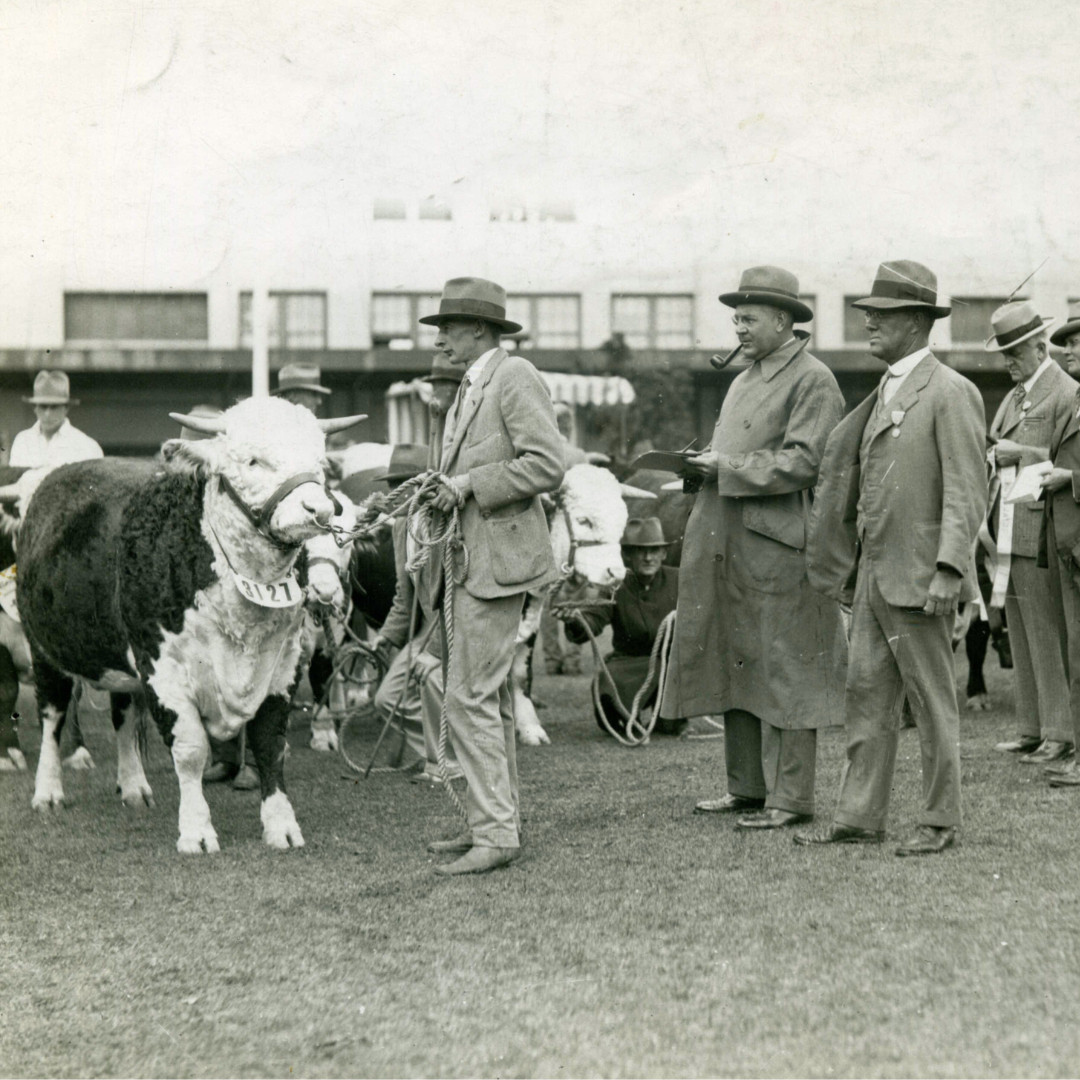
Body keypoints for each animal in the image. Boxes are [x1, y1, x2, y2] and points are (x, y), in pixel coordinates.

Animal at [19, 396, 364, 854]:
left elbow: (270, 743)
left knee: (122, 715)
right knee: (52, 717)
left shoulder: (283, 665)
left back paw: (133, 786)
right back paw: (48, 791)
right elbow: (191, 749)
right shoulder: (163, 666)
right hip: (44, 650)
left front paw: (281, 825)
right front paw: (197, 830)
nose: (320, 509)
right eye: (253, 461)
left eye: (319, 462)